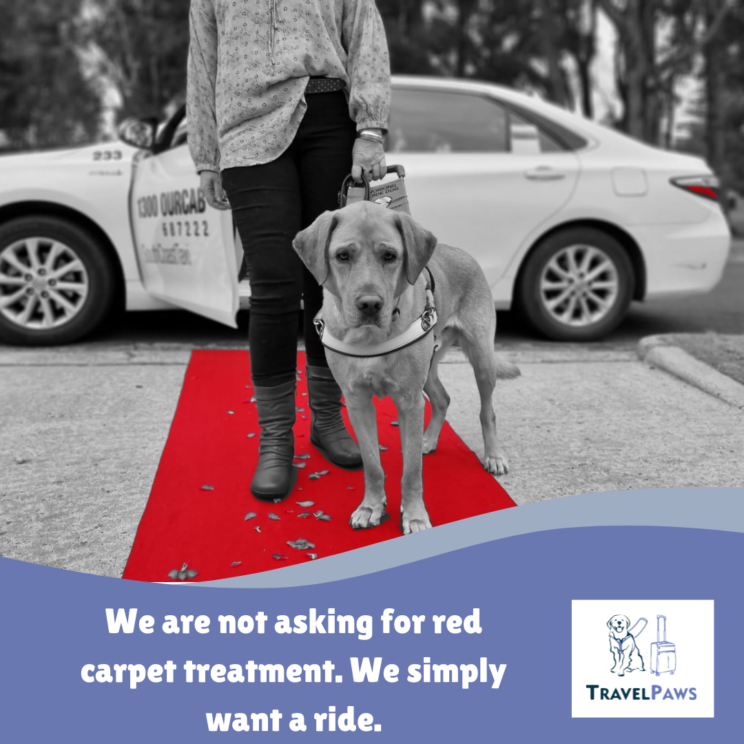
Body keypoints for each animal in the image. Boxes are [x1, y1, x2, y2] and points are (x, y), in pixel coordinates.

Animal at [290, 202, 516, 536]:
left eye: (389, 256)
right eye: (342, 255)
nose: (370, 305)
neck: (370, 338)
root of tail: (463, 252)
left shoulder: (409, 401)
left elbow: (411, 470)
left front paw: (414, 516)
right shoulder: (357, 402)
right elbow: (372, 464)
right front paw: (370, 507)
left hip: (482, 359)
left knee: (487, 411)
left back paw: (493, 455)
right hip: (429, 367)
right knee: (442, 398)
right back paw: (428, 440)